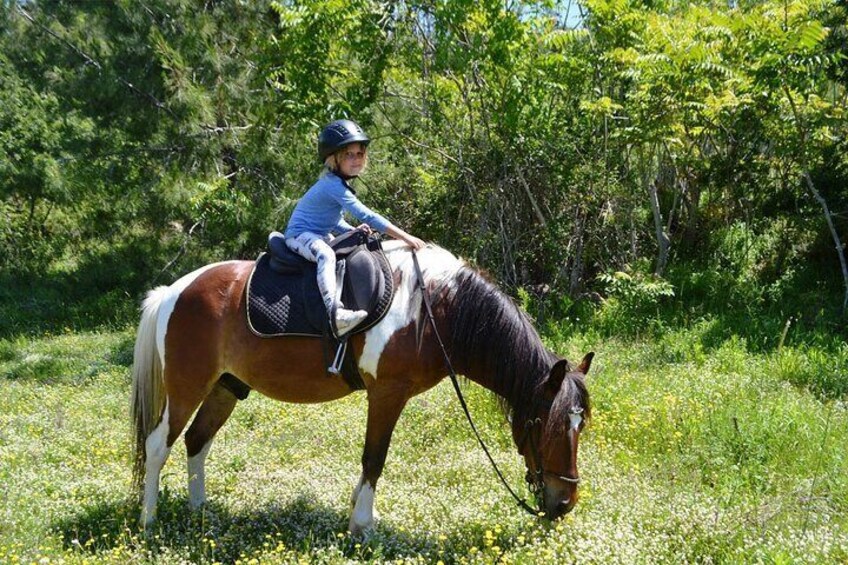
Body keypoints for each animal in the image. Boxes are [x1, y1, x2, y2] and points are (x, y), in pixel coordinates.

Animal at [132, 241, 592, 532]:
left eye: (581, 426)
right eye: (546, 425)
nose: (565, 503)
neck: (434, 311)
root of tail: (173, 291)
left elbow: (371, 461)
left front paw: (355, 513)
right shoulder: (387, 393)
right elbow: (374, 458)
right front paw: (363, 526)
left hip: (225, 387)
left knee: (197, 440)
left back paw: (199, 513)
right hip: (187, 386)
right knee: (158, 445)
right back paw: (149, 521)